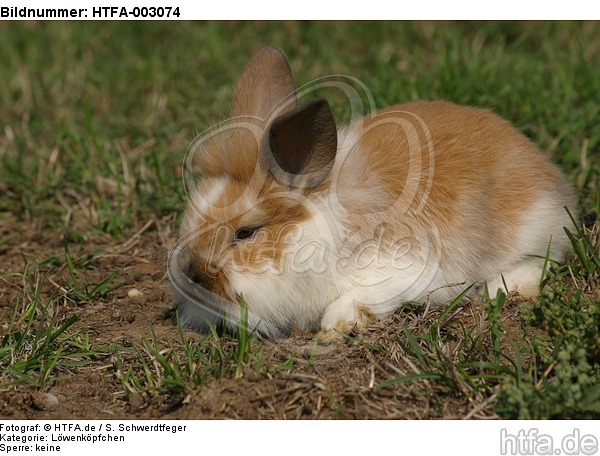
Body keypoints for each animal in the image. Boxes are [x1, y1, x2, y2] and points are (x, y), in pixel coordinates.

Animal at [170, 46, 576, 338]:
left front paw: (336, 325)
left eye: (246, 233)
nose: (193, 274)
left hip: (531, 227)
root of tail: (550, 177)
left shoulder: (403, 267)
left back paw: (502, 289)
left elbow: (362, 296)